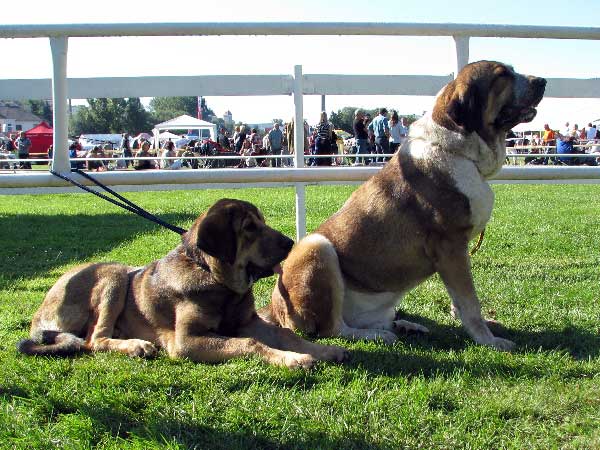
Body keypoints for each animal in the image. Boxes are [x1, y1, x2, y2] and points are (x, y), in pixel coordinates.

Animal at [17, 199, 346, 368]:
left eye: (262, 222)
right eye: (250, 227)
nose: (290, 243)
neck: (216, 280)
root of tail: (39, 315)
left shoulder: (248, 322)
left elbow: (284, 334)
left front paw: (324, 350)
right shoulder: (187, 341)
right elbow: (251, 344)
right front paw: (292, 359)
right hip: (114, 275)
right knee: (93, 340)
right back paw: (136, 346)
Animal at [262, 59, 544, 350]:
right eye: (502, 75)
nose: (542, 81)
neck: (458, 149)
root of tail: (273, 308)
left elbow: (461, 301)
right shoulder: (451, 247)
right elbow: (469, 303)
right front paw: (489, 340)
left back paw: (406, 326)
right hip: (317, 247)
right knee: (333, 329)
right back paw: (377, 335)